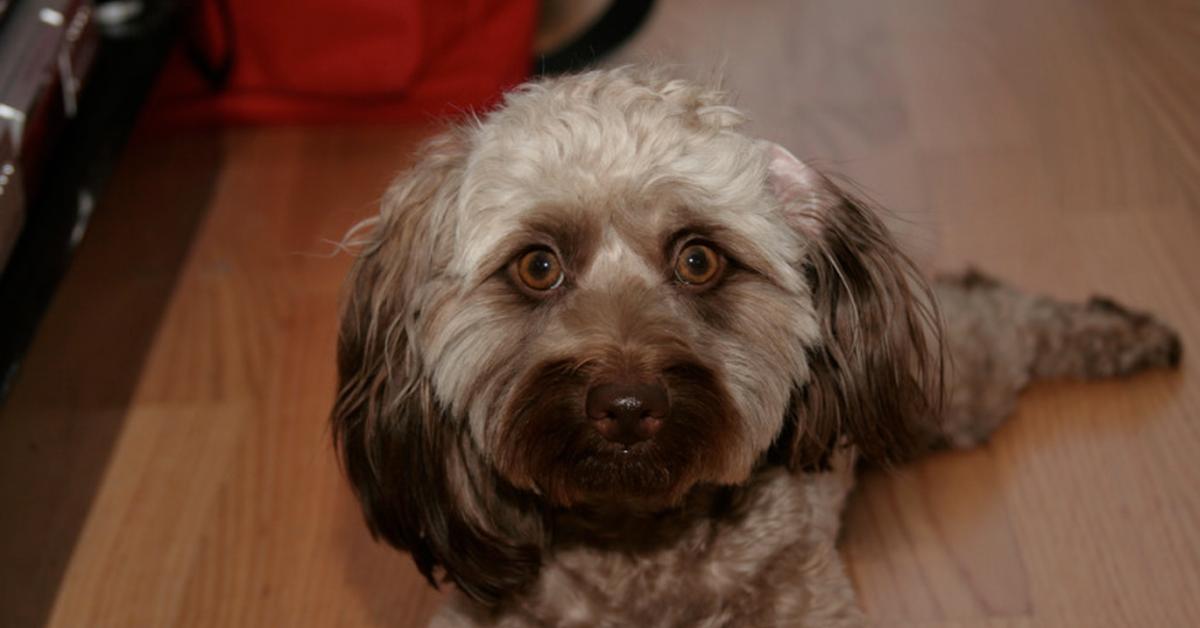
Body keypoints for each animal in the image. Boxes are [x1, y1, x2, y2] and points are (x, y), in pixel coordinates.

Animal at [331, 66, 1180, 624]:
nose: (628, 404)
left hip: (944, 392)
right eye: (538, 266)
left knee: (1000, 310)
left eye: (699, 259)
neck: (642, 545)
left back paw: (1120, 331)